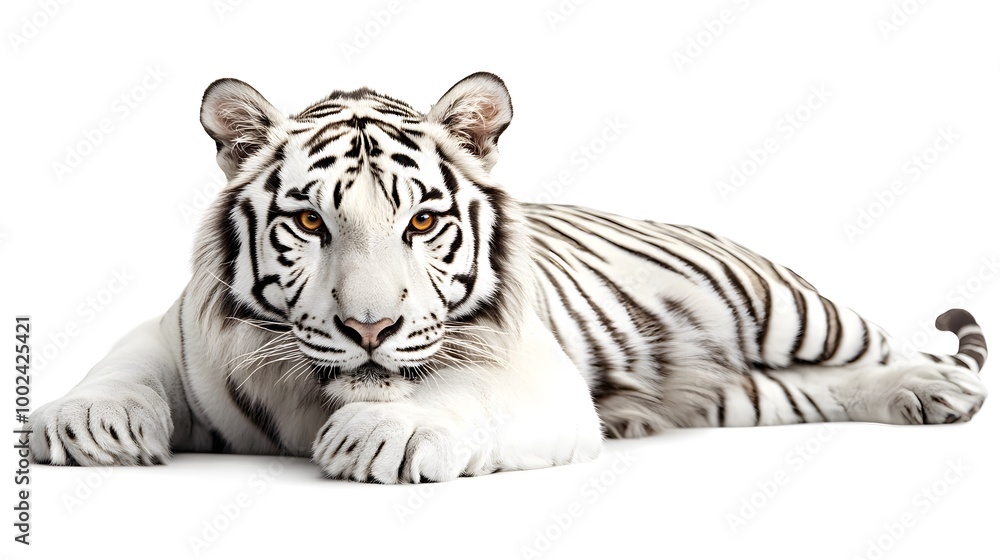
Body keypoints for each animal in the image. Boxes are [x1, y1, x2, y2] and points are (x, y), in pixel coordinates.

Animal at [27, 72, 988, 483]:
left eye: (421, 221)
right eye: (308, 223)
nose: (370, 330)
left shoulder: (537, 379)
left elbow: (461, 397)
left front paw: (389, 433)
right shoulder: (177, 326)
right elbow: (124, 362)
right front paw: (91, 422)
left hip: (784, 305)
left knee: (877, 347)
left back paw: (934, 387)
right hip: (749, 394)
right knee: (818, 390)